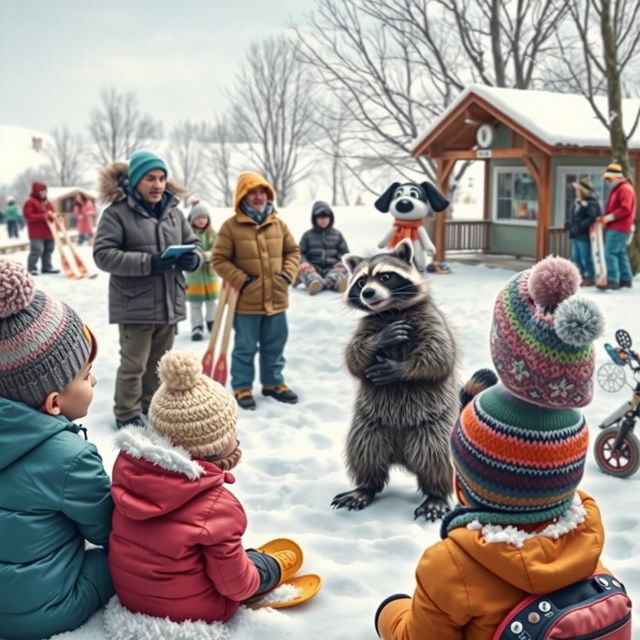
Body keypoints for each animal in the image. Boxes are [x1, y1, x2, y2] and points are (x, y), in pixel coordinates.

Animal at [332, 239, 458, 520]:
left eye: (385, 276)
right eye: (360, 282)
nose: (368, 293)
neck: (389, 311)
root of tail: (401, 456)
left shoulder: (432, 319)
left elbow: (439, 357)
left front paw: (400, 369)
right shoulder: (365, 326)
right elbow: (353, 357)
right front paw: (378, 342)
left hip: (434, 424)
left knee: (436, 454)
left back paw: (436, 494)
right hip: (369, 423)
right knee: (365, 450)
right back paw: (365, 487)